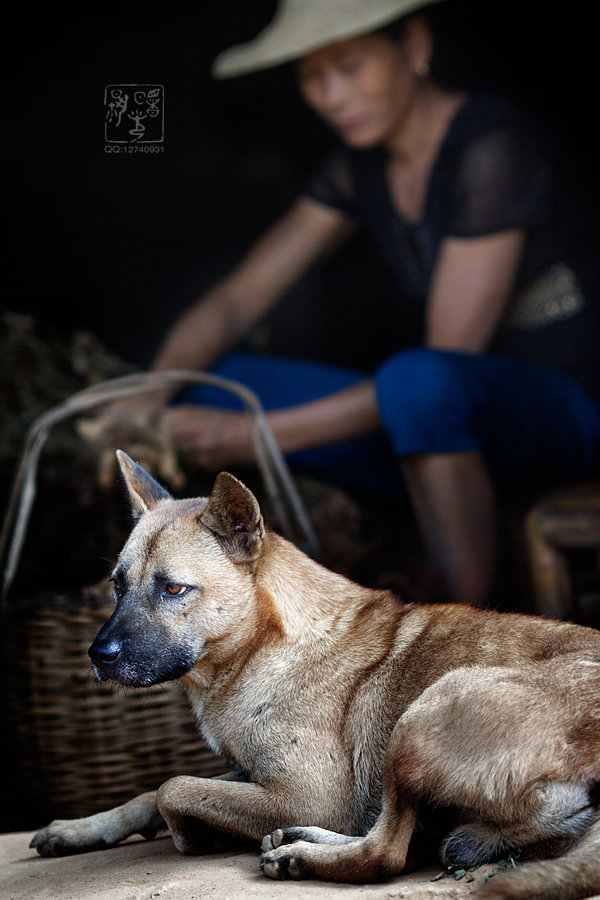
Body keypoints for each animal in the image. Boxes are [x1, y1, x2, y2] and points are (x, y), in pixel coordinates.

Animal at [29, 454, 600, 896]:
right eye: (116, 585)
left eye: (173, 589)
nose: (97, 654)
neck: (263, 647)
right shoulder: (254, 777)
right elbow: (148, 794)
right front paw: (78, 829)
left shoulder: (307, 794)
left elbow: (173, 788)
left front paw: (193, 834)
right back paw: (298, 841)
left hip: (425, 713)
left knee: (386, 853)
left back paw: (300, 856)